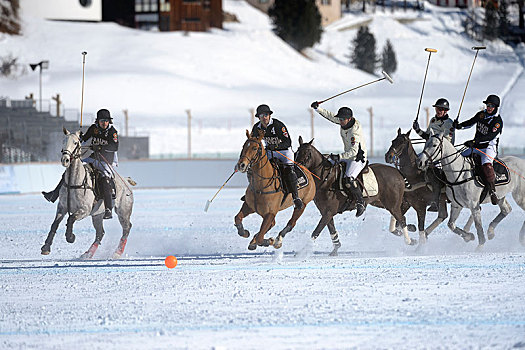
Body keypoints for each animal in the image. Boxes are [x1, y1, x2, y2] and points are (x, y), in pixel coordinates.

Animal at [41, 127, 135, 258]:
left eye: (75, 142)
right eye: (63, 141)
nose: (65, 160)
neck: (75, 182)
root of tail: (126, 180)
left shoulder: (85, 209)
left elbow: (71, 218)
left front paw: (70, 237)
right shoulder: (62, 207)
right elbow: (54, 224)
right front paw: (46, 247)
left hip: (123, 211)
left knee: (126, 228)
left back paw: (117, 253)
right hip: (97, 214)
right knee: (100, 233)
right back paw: (87, 254)